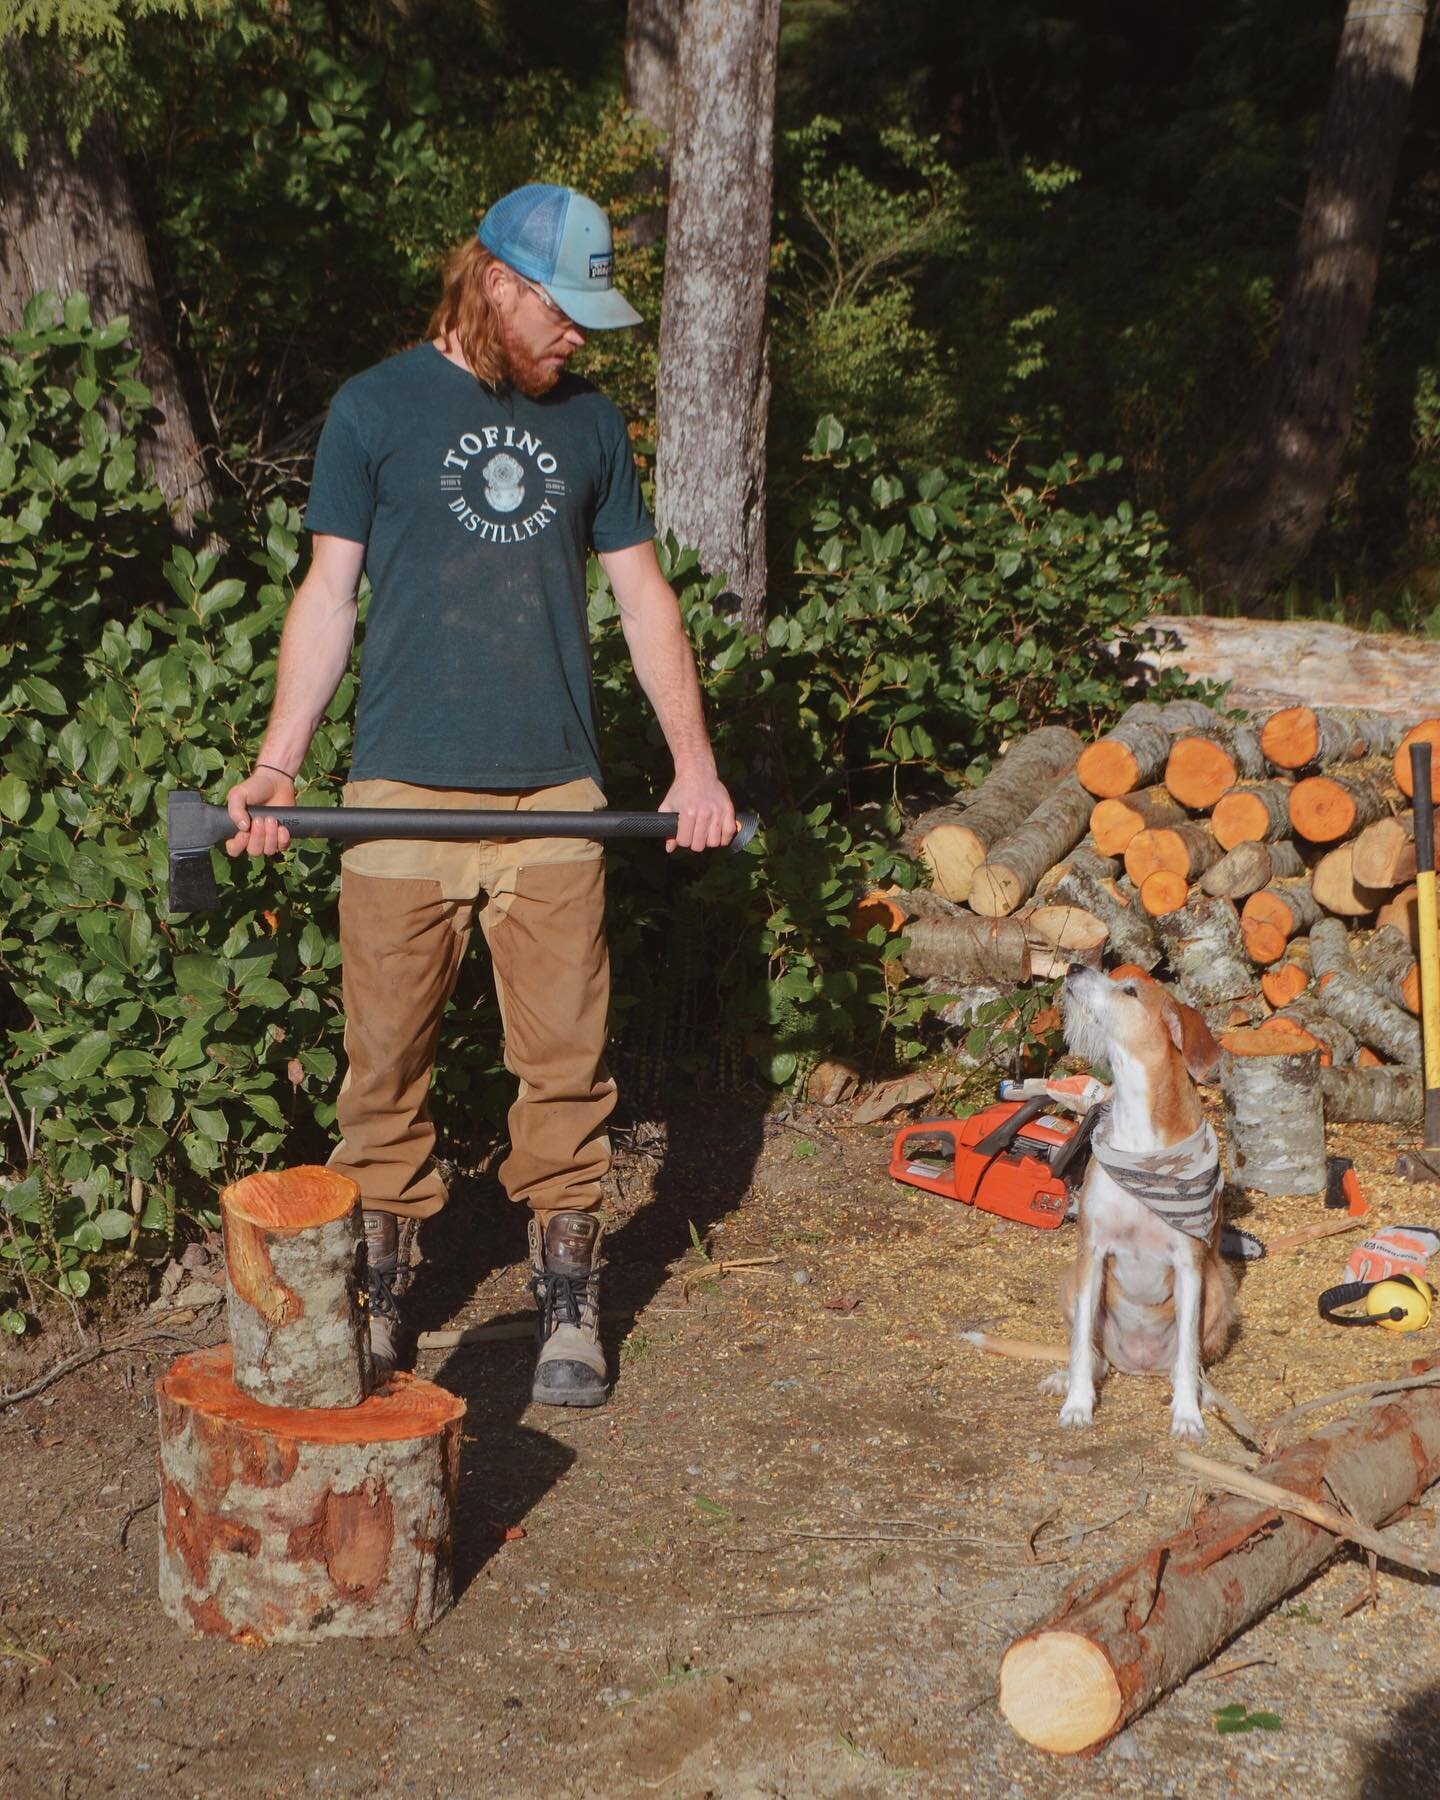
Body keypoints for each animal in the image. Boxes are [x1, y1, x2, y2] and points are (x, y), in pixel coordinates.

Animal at [1044, 964, 1238, 1440]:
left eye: (1129, 991)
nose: (1074, 966)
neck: (1138, 1140)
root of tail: (1139, 1363)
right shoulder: (1092, 1253)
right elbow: (1080, 1347)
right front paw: (1078, 1405)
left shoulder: (1189, 1264)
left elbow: (1187, 1353)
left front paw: (1187, 1415)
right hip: (1071, 1283)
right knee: (1094, 1355)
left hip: (1219, 1288)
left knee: (1190, 1362)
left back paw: (1201, 1395)